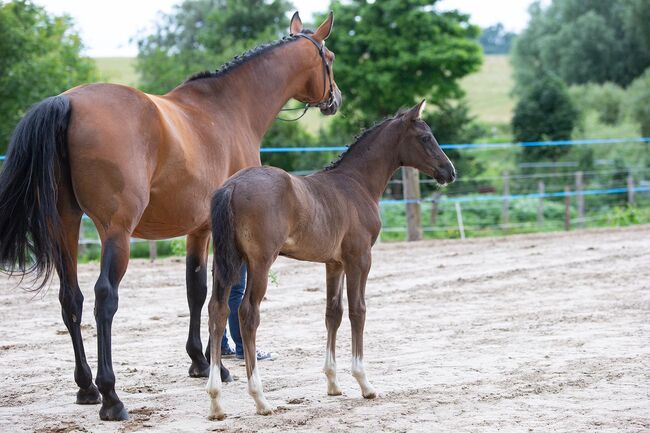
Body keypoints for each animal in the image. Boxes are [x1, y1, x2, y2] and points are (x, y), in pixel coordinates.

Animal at [0, 12, 342, 418]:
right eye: (330, 57)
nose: (335, 98)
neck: (230, 109)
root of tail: (65, 102)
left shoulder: (197, 229)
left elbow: (196, 290)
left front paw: (199, 361)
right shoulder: (213, 229)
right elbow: (220, 292)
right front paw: (216, 363)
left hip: (65, 225)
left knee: (72, 299)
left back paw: (87, 388)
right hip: (116, 232)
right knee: (104, 299)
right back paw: (111, 395)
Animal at [208, 101, 456, 418]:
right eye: (425, 137)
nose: (449, 171)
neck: (356, 184)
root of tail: (232, 186)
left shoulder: (334, 263)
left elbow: (333, 313)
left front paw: (333, 383)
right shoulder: (359, 258)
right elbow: (358, 310)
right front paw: (364, 382)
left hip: (227, 260)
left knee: (217, 310)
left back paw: (216, 401)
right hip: (260, 262)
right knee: (247, 313)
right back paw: (260, 399)